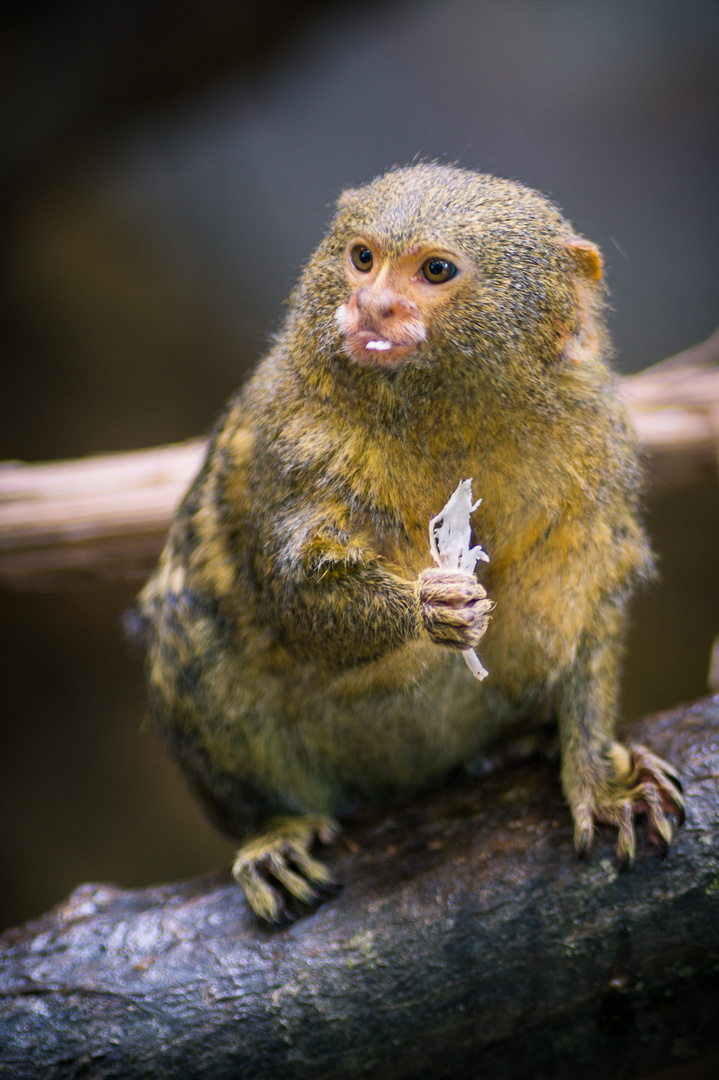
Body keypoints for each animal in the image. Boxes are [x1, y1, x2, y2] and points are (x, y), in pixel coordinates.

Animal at [134, 164, 682, 924]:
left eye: (435, 271)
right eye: (362, 258)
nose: (371, 305)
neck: (445, 415)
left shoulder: (594, 447)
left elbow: (584, 610)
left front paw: (598, 778)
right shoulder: (290, 438)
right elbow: (297, 594)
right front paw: (435, 606)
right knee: (190, 618)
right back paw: (273, 829)